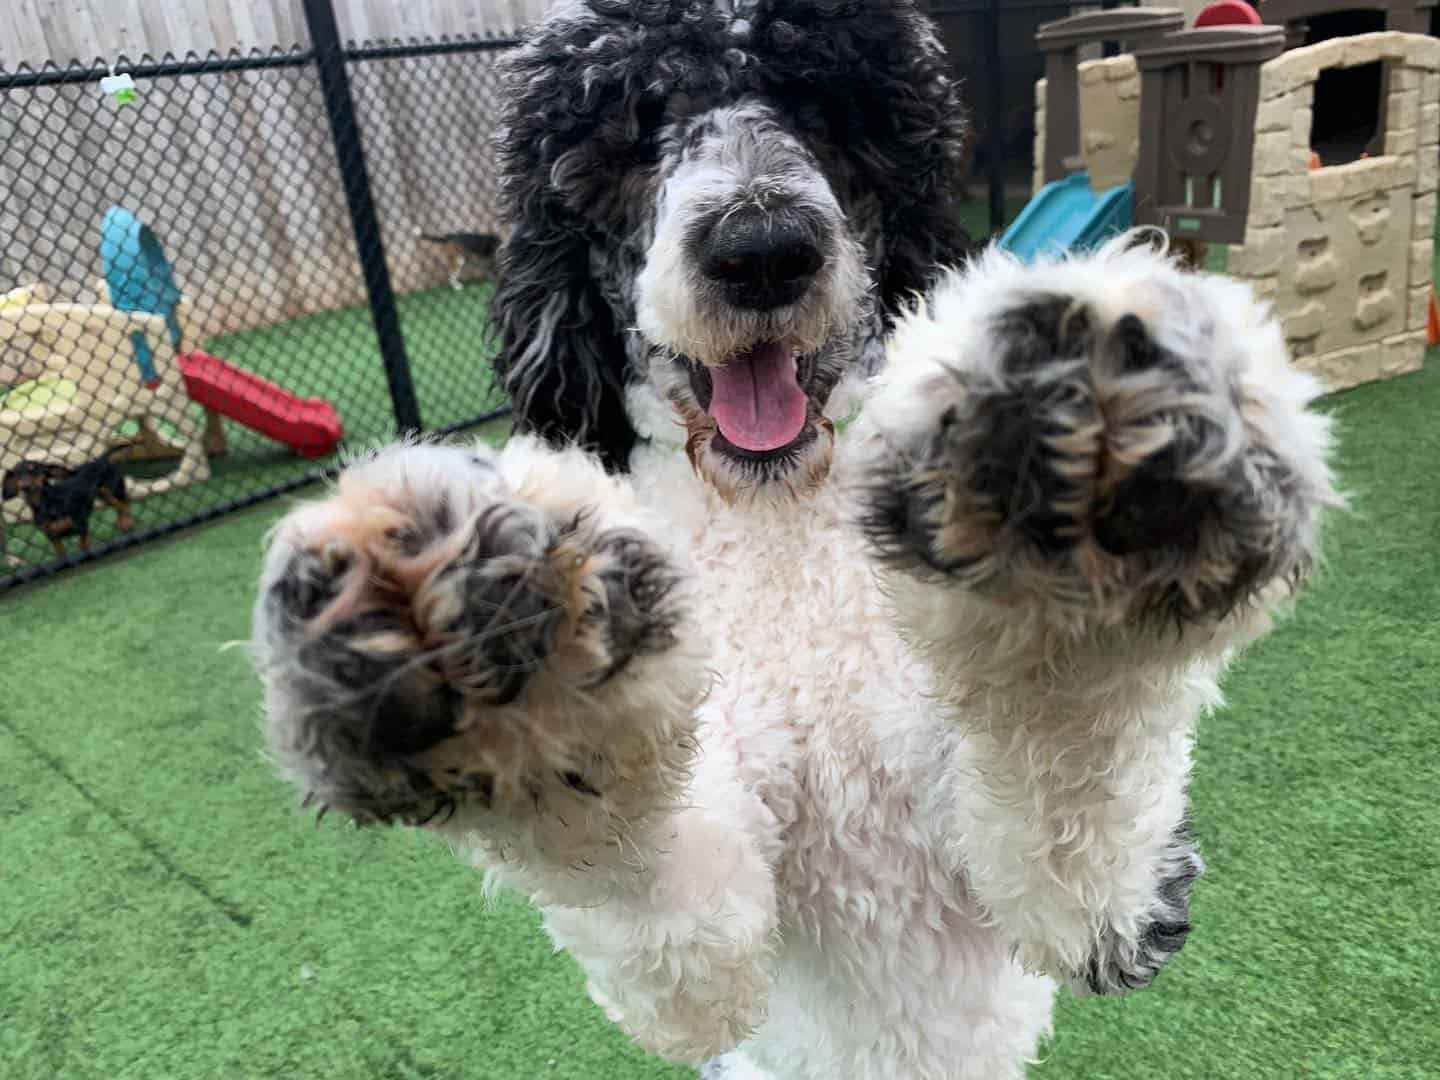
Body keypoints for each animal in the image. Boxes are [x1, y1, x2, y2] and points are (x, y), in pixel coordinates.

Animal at [2, 452, 133, 561]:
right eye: (16, 474)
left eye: (33, 470)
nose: (25, 486)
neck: (44, 503)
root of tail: (100, 459)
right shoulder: (51, 535)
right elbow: (60, 551)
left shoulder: (80, 523)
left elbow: (82, 543)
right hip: (104, 495)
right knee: (118, 506)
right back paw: (122, 522)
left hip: (112, 489)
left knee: (124, 503)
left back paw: (126, 522)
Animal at [247, 4, 1336, 1077]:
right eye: (633, 127)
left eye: (829, 111)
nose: (763, 247)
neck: (780, 530)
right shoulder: (714, 948)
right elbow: (642, 886)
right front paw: (520, 676)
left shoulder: (1106, 907)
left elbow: (1075, 758)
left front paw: (1077, 524)